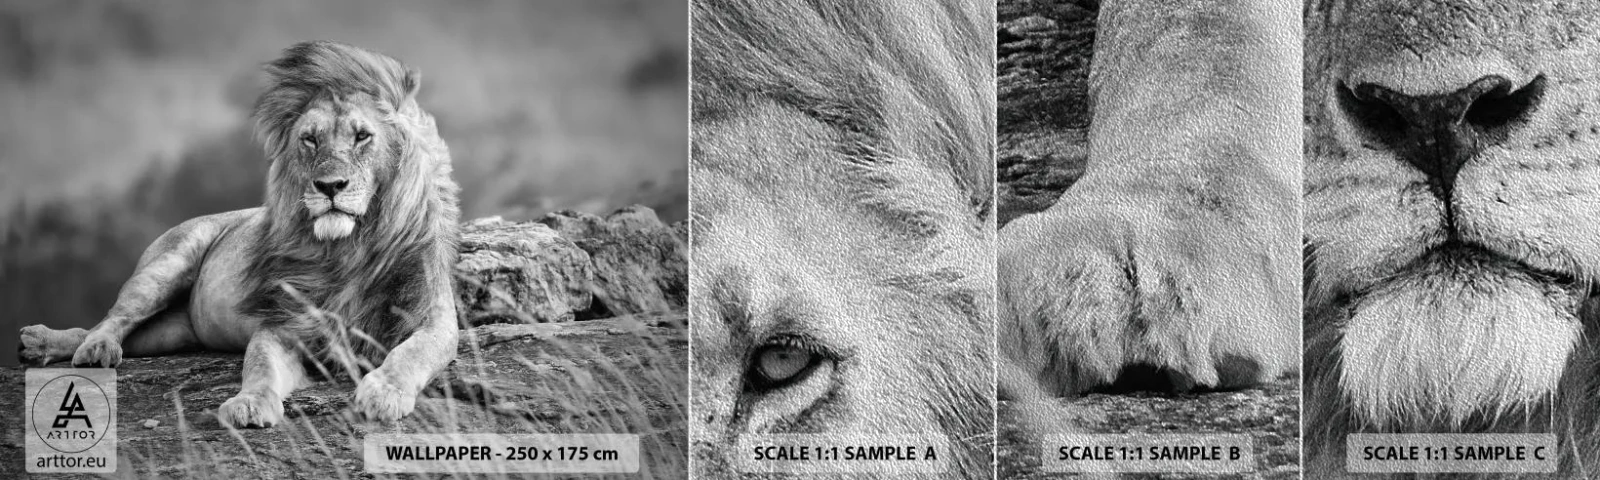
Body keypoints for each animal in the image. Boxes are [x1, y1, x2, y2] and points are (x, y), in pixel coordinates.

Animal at [17, 41, 461, 429]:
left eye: (362, 136)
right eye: (310, 139)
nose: (329, 186)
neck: (348, 248)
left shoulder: (433, 317)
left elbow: (412, 353)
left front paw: (385, 392)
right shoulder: (284, 323)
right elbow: (260, 365)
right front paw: (248, 404)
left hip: (170, 333)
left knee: (105, 330)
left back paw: (43, 344)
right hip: (165, 266)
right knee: (111, 319)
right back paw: (81, 348)